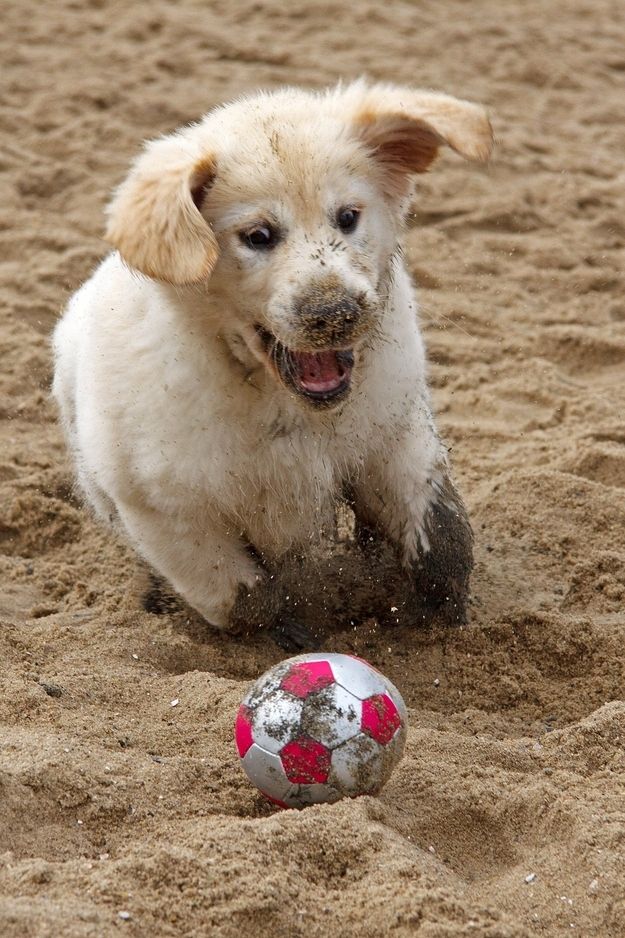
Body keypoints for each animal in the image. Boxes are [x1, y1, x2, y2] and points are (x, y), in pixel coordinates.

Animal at [52, 82, 492, 644]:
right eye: (258, 236)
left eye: (348, 217)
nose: (335, 313)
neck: (280, 402)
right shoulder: (164, 510)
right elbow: (245, 598)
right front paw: (292, 636)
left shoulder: (393, 428)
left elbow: (441, 537)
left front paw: (442, 626)